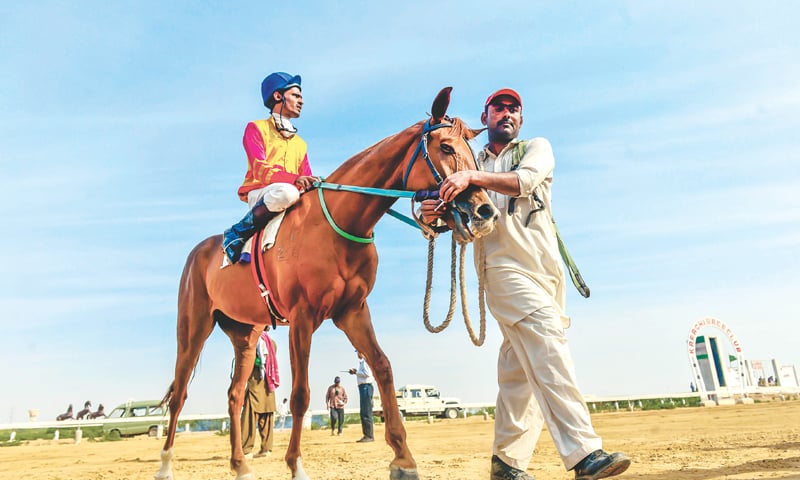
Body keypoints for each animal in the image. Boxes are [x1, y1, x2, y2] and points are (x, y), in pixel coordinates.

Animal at [156, 87, 499, 480]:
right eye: (445, 147)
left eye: (473, 153)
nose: (485, 211)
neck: (340, 222)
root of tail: (200, 250)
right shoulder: (302, 318)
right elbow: (301, 394)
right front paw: (296, 465)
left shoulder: (352, 311)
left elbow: (383, 368)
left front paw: (403, 459)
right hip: (193, 327)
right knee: (180, 393)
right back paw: (165, 465)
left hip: (245, 334)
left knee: (235, 394)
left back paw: (240, 466)